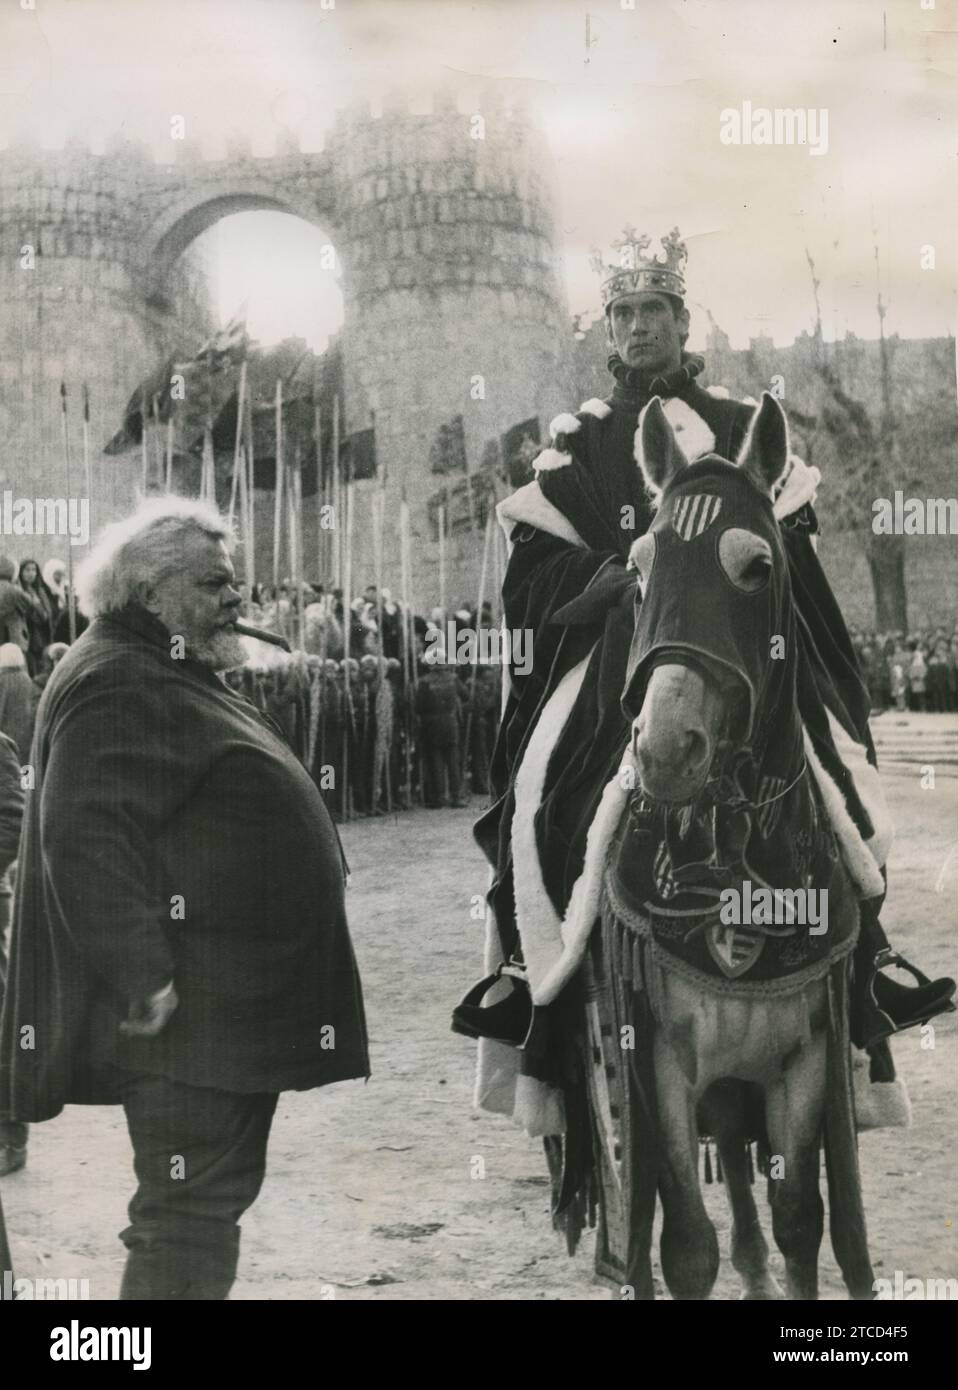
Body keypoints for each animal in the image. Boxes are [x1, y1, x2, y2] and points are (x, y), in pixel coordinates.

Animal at [597, 394, 873, 1301]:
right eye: (639, 568)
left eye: (754, 567)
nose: (664, 749)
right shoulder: (666, 1066)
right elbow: (687, 1240)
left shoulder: (801, 1065)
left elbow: (801, 1220)